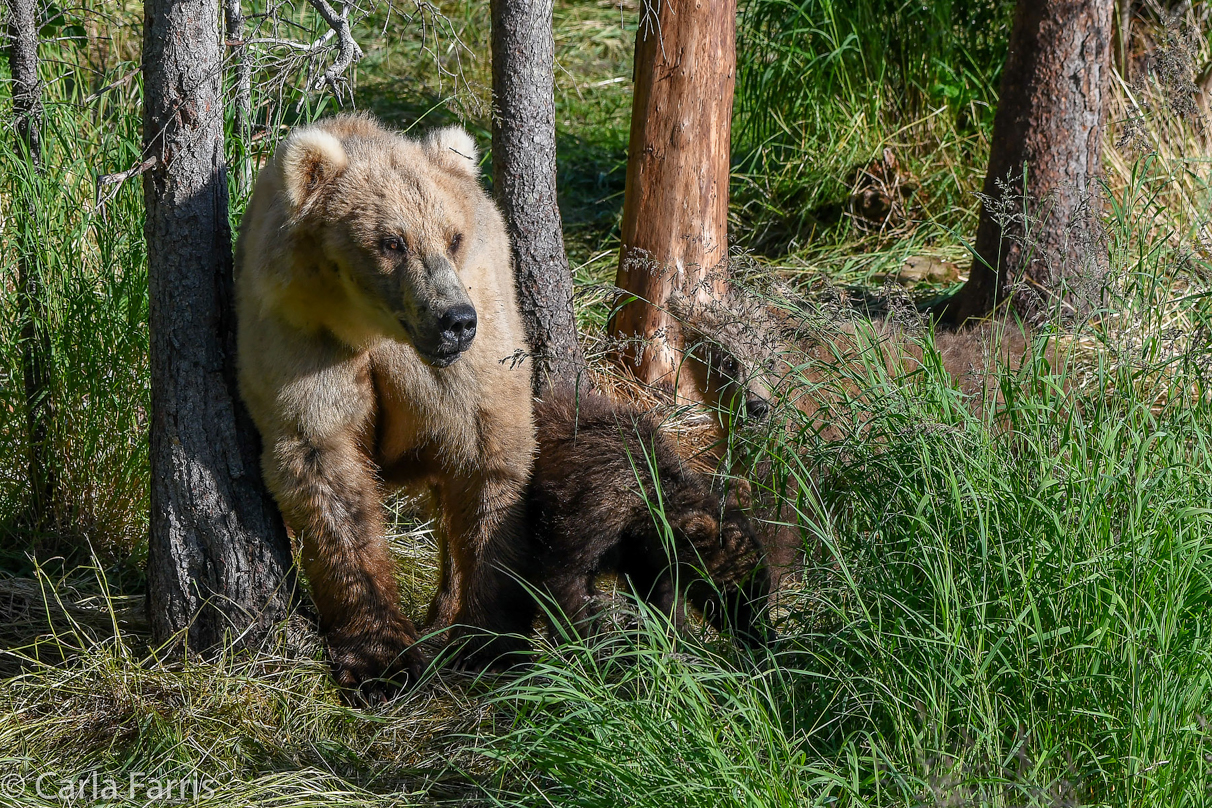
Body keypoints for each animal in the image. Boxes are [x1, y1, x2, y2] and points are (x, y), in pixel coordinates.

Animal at [235, 113, 535, 697]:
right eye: (392, 241)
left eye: (453, 236)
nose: (454, 320)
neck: (367, 328)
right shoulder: (300, 343)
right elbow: (325, 472)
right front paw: (380, 660)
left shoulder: (461, 365)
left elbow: (488, 458)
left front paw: (489, 640)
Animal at [516, 387, 770, 658]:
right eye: (735, 593)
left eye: (763, 587)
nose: (763, 639)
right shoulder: (587, 523)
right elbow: (567, 587)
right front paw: (586, 649)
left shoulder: (646, 558)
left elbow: (660, 601)